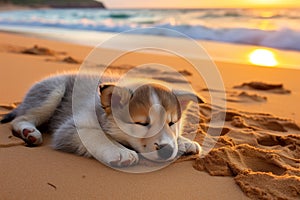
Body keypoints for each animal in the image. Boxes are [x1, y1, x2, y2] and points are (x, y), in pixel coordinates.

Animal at [1, 72, 203, 166]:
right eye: (141, 123)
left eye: (172, 123)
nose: (167, 150)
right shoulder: (70, 127)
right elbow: (97, 135)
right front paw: (120, 151)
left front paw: (184, 141)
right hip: (54, 91)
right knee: (20, 118)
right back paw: (29, 132)